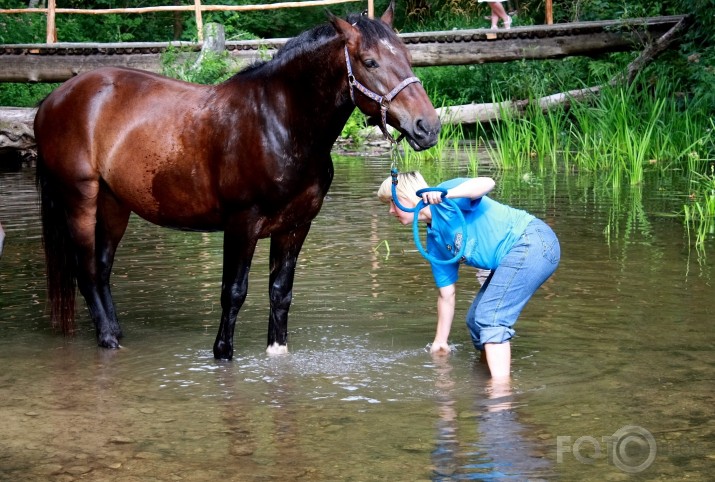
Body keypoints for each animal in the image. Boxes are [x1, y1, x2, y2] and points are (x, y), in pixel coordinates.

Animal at [33, 2, 442, 358]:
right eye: (370, 62)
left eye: (407, 57)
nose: (428, 127)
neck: (280, 123)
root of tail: (52, 99)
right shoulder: (242, 224)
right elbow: (233, 292)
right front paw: (222, 353)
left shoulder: (295, 226)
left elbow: (280, 292)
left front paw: (277, 352)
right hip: (79, 198)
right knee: (85, 268)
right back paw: (107, 339)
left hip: (114, 203)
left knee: (102, 267)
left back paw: (116, 332)